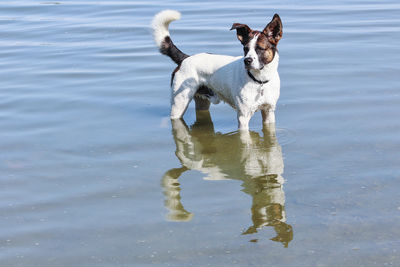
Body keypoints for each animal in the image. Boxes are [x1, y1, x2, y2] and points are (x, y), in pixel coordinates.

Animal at [152, 10, 282, 131]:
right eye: (245, 49)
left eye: (260, 48)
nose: (247, 61)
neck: (259, 81)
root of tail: (185, 58)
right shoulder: (243, 117)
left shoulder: (269, 112)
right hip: (179, 104)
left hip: (202, 102)